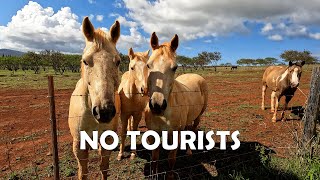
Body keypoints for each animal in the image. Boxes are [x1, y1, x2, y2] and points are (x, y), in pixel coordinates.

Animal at [67, 16, 121, 179]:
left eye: (118, 61)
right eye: (85, 61)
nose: (104, 111)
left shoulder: (107, 140)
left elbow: (104, 168)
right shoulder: (79, 146)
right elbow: (83, 172)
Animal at [144, 32, 209, 179]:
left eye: (174, 67)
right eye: (148, 65)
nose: (157, 105)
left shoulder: (174, 136)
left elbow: (171, 160)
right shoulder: (153, 134)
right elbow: (154, 159)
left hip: (198, 116)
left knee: (193, 130)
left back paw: (189, 151)